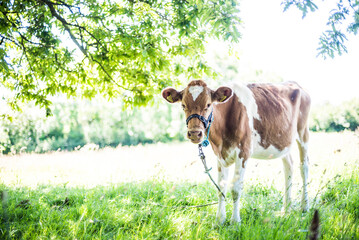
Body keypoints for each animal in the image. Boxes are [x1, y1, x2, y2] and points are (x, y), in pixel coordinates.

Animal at [163, 79, 312, 224]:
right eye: (183, 105)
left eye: (208, 104)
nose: (195, 133)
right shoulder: (220, 155)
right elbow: (221, 188)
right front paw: (220, 220)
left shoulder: (243, 152)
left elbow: (235, 189)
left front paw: (235, 222)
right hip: (283, 142)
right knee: (289, 167)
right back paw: (286, 209)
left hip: (303, 132)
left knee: (304, 168)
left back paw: (304, 206)